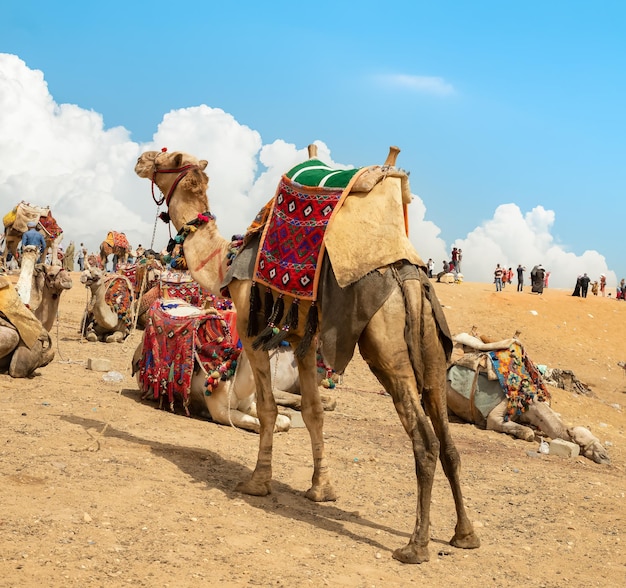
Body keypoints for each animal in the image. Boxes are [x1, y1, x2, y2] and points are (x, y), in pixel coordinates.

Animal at [444, 334, 608, 466]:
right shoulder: (498, 413)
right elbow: (528, 433)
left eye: (598, 439)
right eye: (580, 443)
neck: (531, 403)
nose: (605, 457)